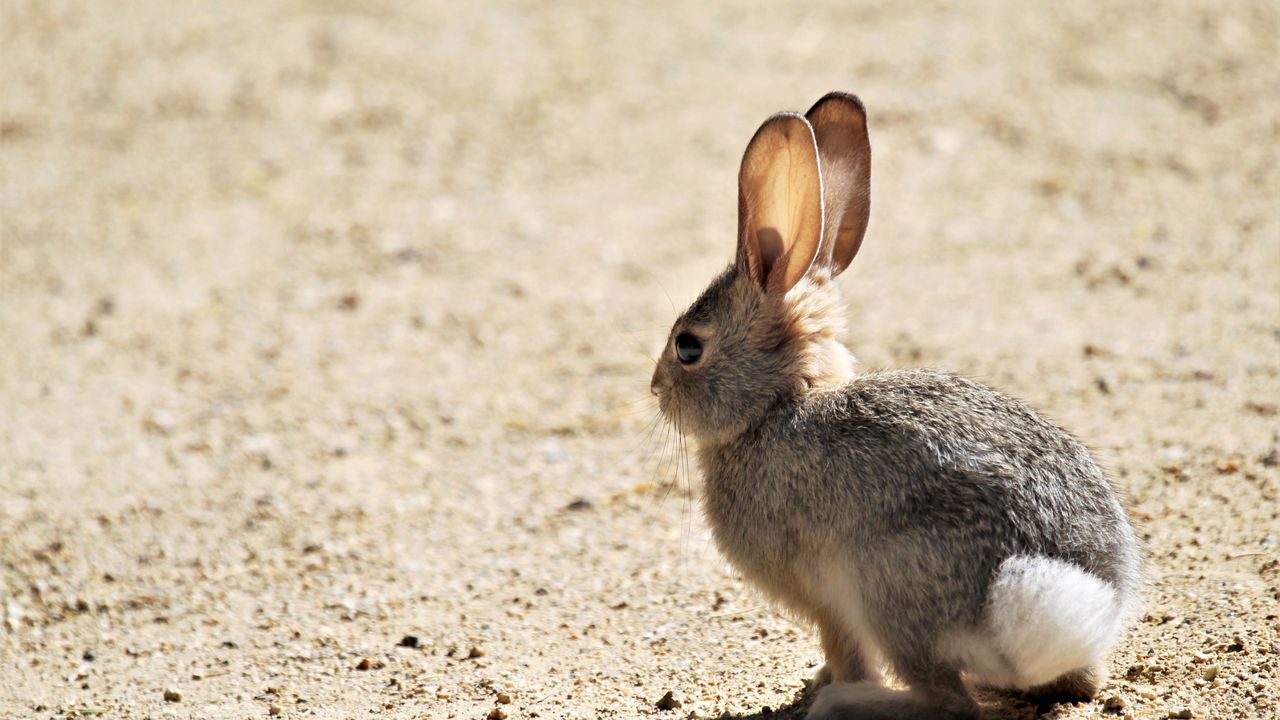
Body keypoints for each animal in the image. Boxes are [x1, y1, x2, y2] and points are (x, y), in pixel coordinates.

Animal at [650, 90, 1141, 717]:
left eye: (688, 347)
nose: (656, 390)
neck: (777, 406)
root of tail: (1057, 610)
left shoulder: (827, 599)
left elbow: (845, 649)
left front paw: (824, 687)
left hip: (889, 585)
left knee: (949, 702)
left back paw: (847, 702)